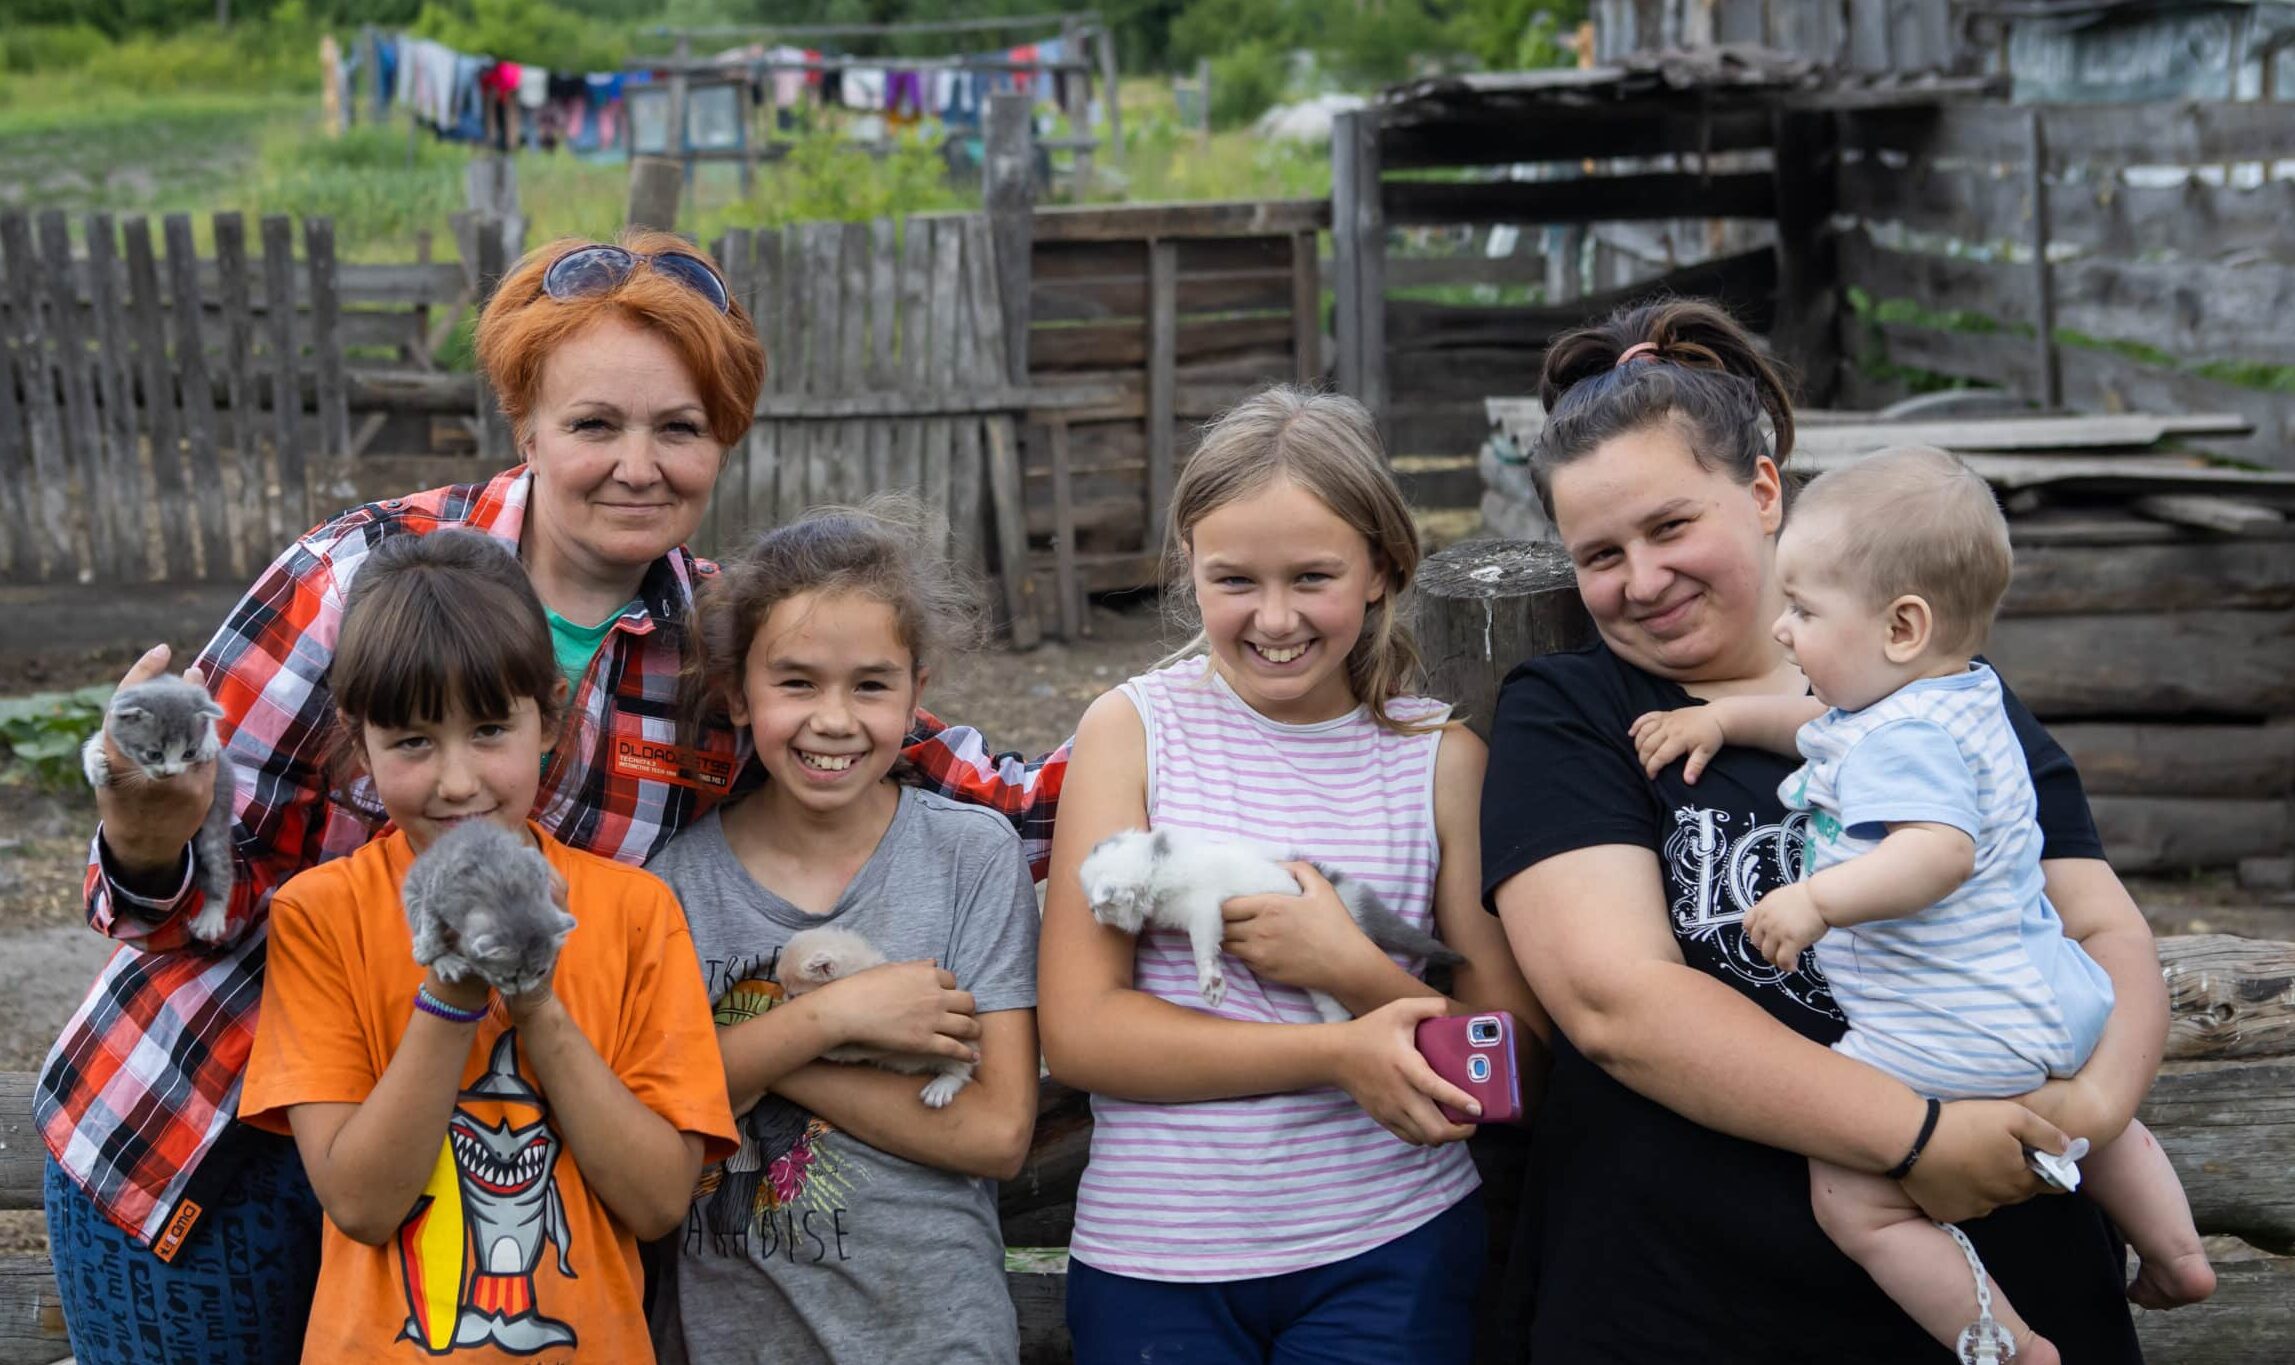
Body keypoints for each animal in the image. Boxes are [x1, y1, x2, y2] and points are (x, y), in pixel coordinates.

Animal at [80, 679, 237, 945]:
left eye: (189, 753)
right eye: (154, 754)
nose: (170, 772)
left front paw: (209, 743)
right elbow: (96, 740)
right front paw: (96, 766)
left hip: (216, 822)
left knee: (220, 866)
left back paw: (212, 916)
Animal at [399, 816, 573, 1000]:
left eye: (541, 972)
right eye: (510, 978)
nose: (524, 991)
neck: (508, 890)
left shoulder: (534, 861)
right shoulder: (435, 888)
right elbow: (430, 925)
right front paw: (427, 951)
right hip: (413, 891)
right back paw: (447, 963)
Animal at [780, 931, 977, 1110]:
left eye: (794, 994)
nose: (783, 999)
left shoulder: (877, 1041)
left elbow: (850, 1050)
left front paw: (829, 1051)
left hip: (961, 1045)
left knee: (960, 1071)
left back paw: (942, 1085)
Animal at [1078, 821, 1468, 1027]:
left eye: (1098, 907)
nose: (1092, 914)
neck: (1156, 866)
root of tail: (1346, 897)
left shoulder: (1204, 906)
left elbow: (1203, 945)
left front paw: (1211, 984)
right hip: (1320, 979)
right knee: (1334, 1005)